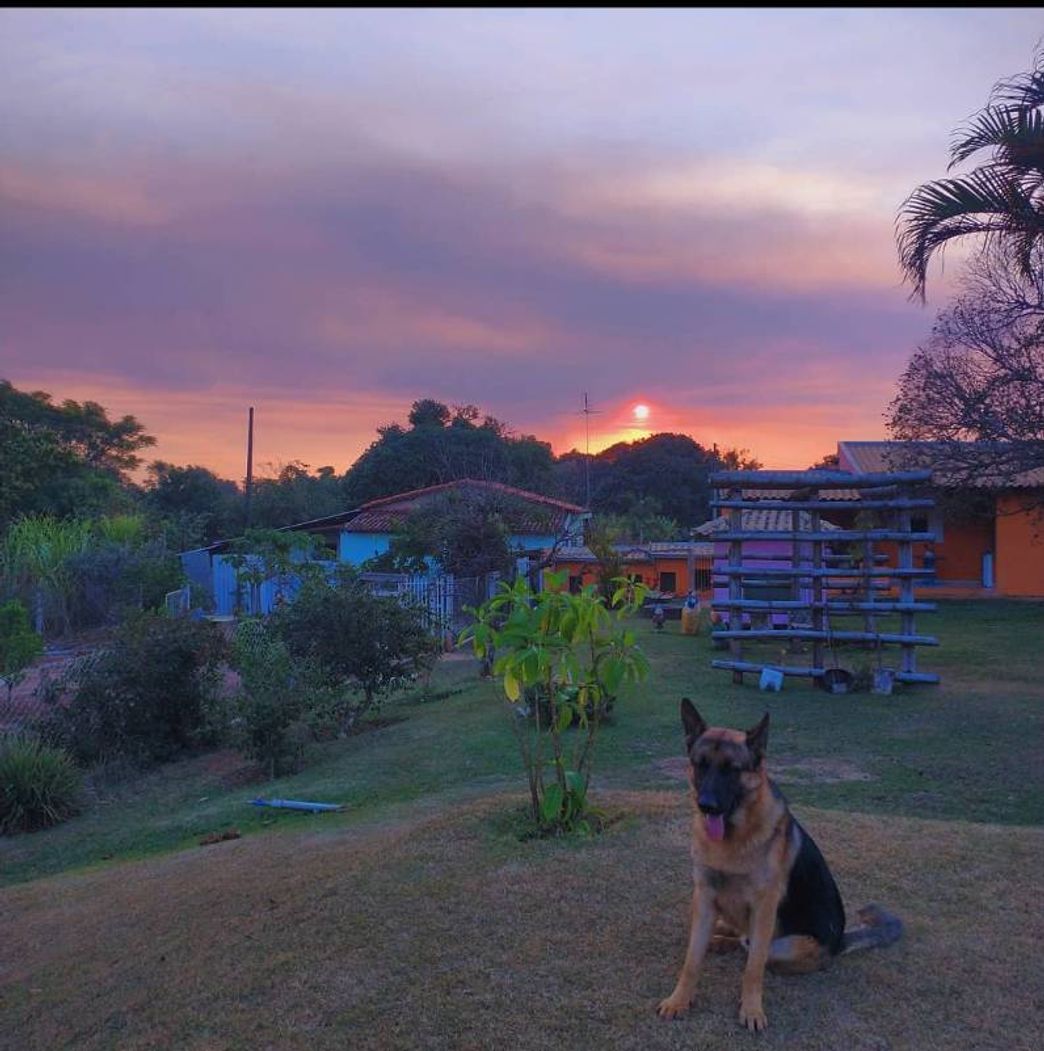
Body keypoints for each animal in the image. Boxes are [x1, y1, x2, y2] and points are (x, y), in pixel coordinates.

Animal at [656, 702, 899, 1029]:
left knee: (752, 949)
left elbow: (753, 968)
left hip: (781, 946)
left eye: (732, 769)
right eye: (701, 764)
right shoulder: (704, 898)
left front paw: (751, 1009)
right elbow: (692, 960)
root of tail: (838, 943)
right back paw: (718, 940)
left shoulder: (763, 909)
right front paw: (680, 999)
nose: (706, 805)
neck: (733, 840)